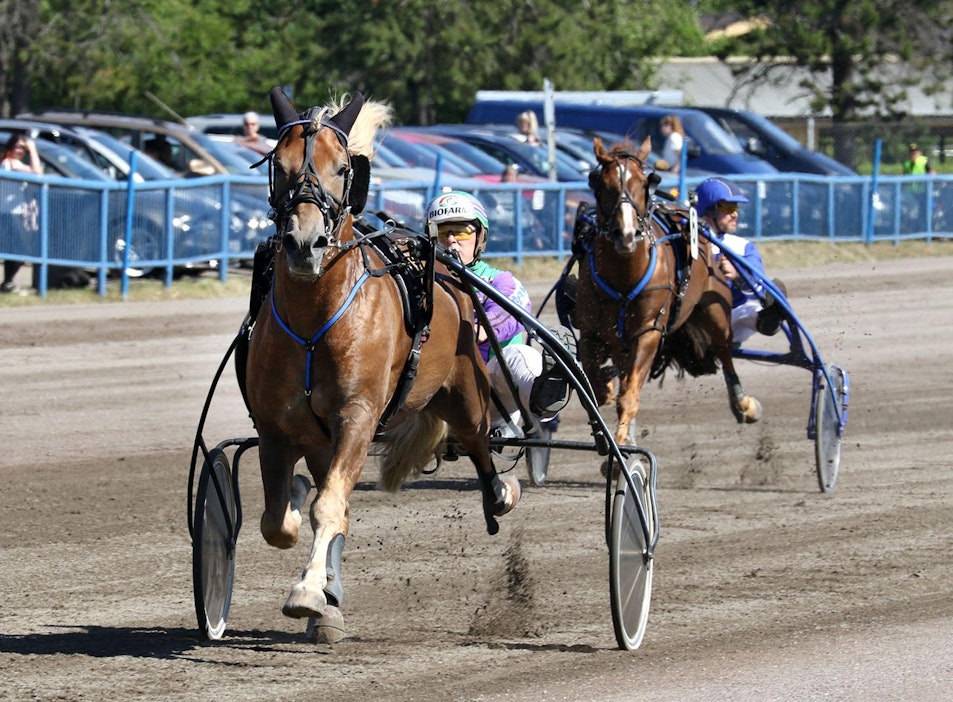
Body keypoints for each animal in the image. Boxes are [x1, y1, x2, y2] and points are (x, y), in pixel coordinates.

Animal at [242, 88, 516, 644]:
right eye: (278, 165)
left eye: (344, 167)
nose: (304, 244)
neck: (316, 317)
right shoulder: (277, 429)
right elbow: (279, 520)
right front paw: (318, 585)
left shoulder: (358, 416)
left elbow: (328, 505)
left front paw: (308, 594)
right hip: (323, 441)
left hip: (465, 393)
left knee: (479, 441)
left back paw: (500, 493)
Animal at [572, 137, 760, 446]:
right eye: (602, 185)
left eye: (644, 183)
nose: (626, 234)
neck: (623, 275)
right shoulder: (591, 333)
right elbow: (595, 384)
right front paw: (606, 389)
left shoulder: (648, 332)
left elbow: (629, 396)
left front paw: (621, 440)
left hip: (714, 308)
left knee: (724, 349)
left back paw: (742, 402)